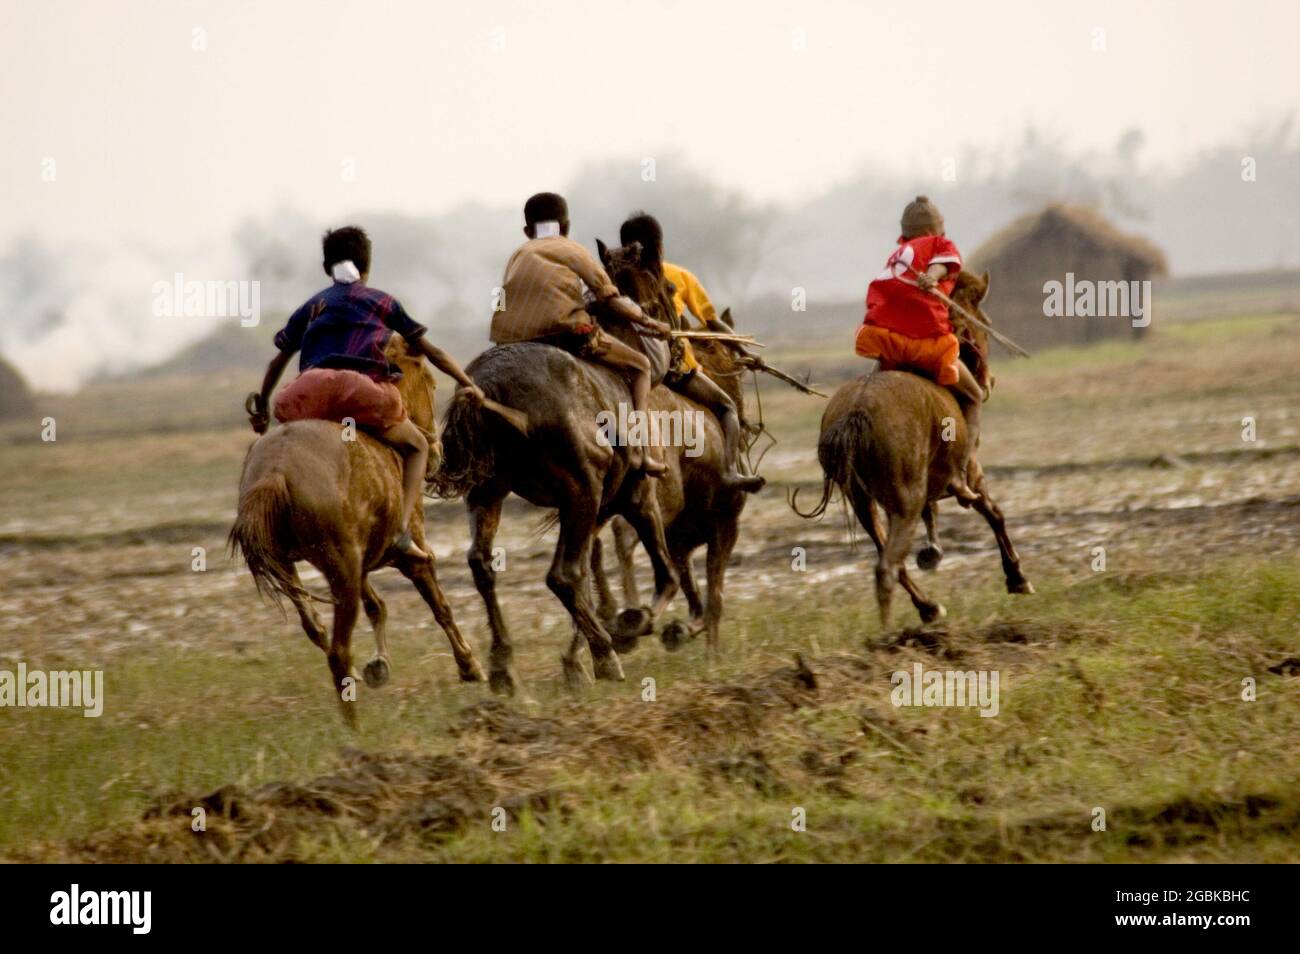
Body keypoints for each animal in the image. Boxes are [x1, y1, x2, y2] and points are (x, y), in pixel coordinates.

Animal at [227, 340, 483, 727]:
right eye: (431, 381)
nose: (437, 451)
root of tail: (276, 471)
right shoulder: (411, 557)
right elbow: (441, 606)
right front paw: (469, 666)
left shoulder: (361, 558)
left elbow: (377, 606)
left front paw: (379, 664)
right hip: (341, 568)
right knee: (338, 651)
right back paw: (355, 730)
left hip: (296, 564)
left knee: (316, 628)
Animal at [434, 243, 686, 696]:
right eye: (670, 287)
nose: (678, 351)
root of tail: (488, 391)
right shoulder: (635, 498)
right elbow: (664, 575)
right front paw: (629, 627)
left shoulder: (598, 508)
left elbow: (589, 571)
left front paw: (576, 659)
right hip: (580, 493)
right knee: (561, 576)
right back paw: (605, 656)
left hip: (490, 494)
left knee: (483, 565)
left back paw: (504, 668)